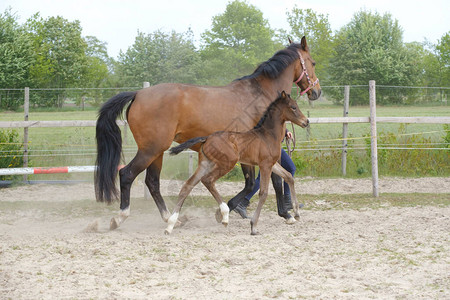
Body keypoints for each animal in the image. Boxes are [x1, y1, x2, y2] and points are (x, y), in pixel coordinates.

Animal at [166, 90, 310, 236]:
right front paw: (253, 226)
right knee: (208, 180)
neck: (268, 136)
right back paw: (224, 215)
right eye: (293, 107)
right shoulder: (265, 165)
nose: (306, 121)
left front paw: (296, 213)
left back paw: (170, 225)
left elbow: (288, 176)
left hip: (205, 164)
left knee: (187, 186)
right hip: (227, 163)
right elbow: (263, 193)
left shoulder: (273, 164)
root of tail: (206, 138)